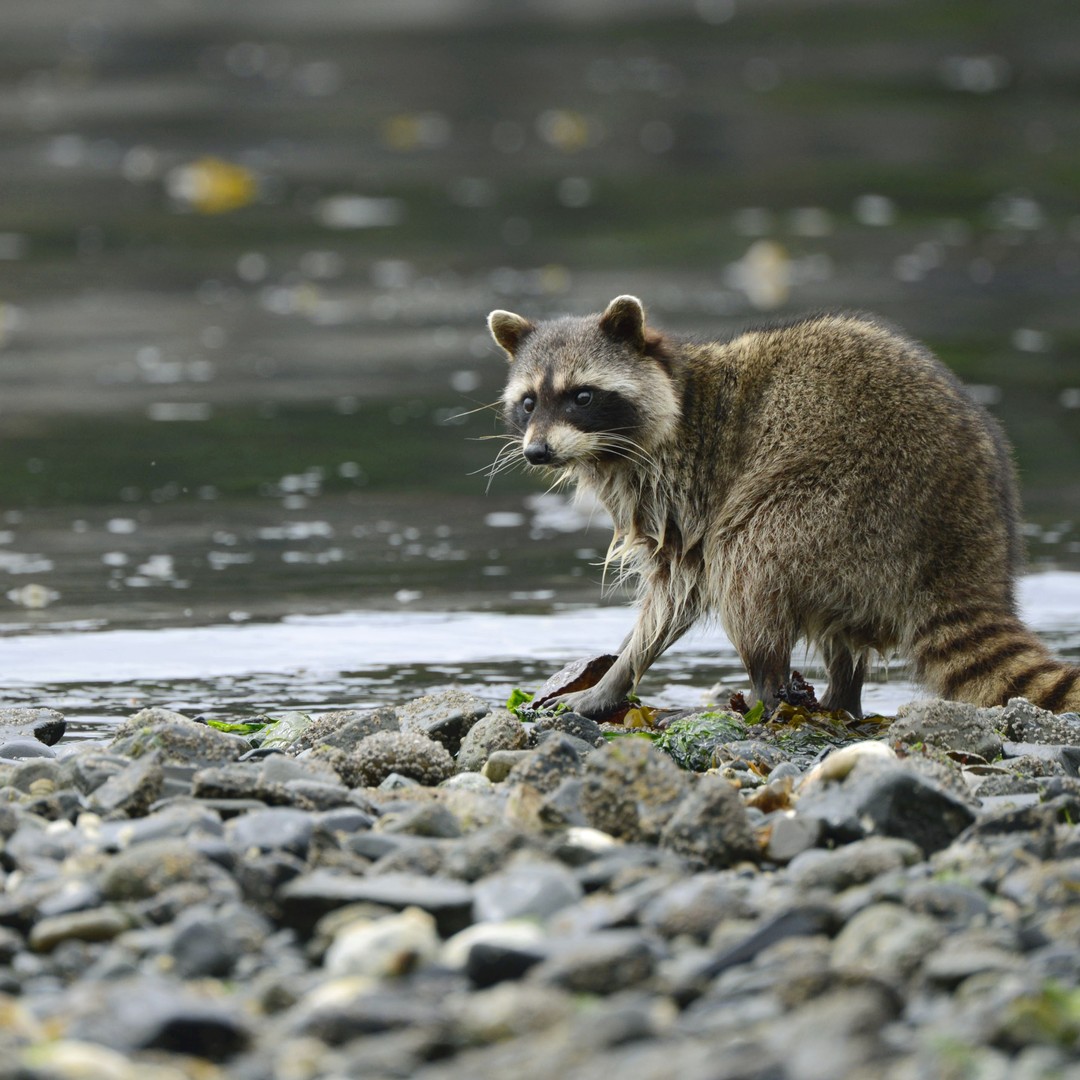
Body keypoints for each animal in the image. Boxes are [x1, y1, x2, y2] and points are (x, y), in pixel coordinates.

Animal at [486, 294, 1080, 720]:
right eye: (529, 402)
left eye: (582, 396)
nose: (537, 452)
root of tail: (965, 547)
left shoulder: (684, 485)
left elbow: (679, 588)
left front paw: (616, 675)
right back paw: (841, 697)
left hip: (846, 509)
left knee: (746, 554)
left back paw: (769, 691)